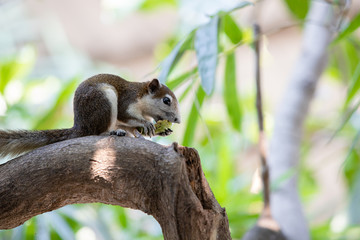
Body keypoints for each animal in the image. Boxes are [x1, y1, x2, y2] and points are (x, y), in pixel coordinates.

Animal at [0, 74, 181, 158]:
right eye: (166, 100)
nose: (178, 120)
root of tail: (80, 126)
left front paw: (161, 130)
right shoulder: (127, 102)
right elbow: (126, 115)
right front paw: (145, 124)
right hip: (104, 100)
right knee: (97, 132)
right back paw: (110, 132)